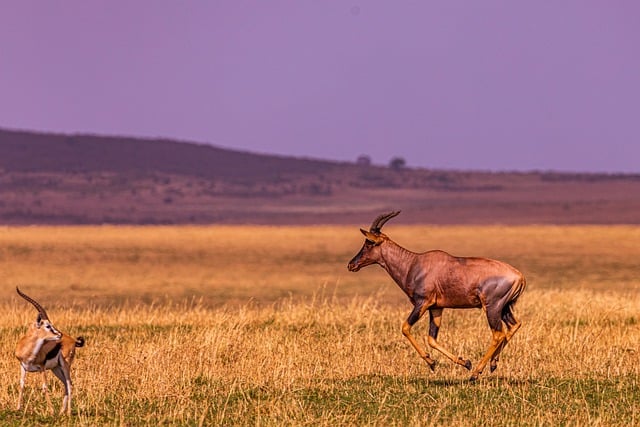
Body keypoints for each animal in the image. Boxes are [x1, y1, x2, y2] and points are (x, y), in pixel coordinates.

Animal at [350, 211, 524, 382]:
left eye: (369, 243)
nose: (351, 264)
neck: (414, 263)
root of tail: (519, 276)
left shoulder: (422, 303)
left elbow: (405, 328)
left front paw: (432, 362)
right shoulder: (436, 308)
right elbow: (432, 339)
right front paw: (464, 362)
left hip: (492, 307)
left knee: (498, 334)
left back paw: (475, 373)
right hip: (504, 308)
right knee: (514, 325)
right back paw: (493, 364)